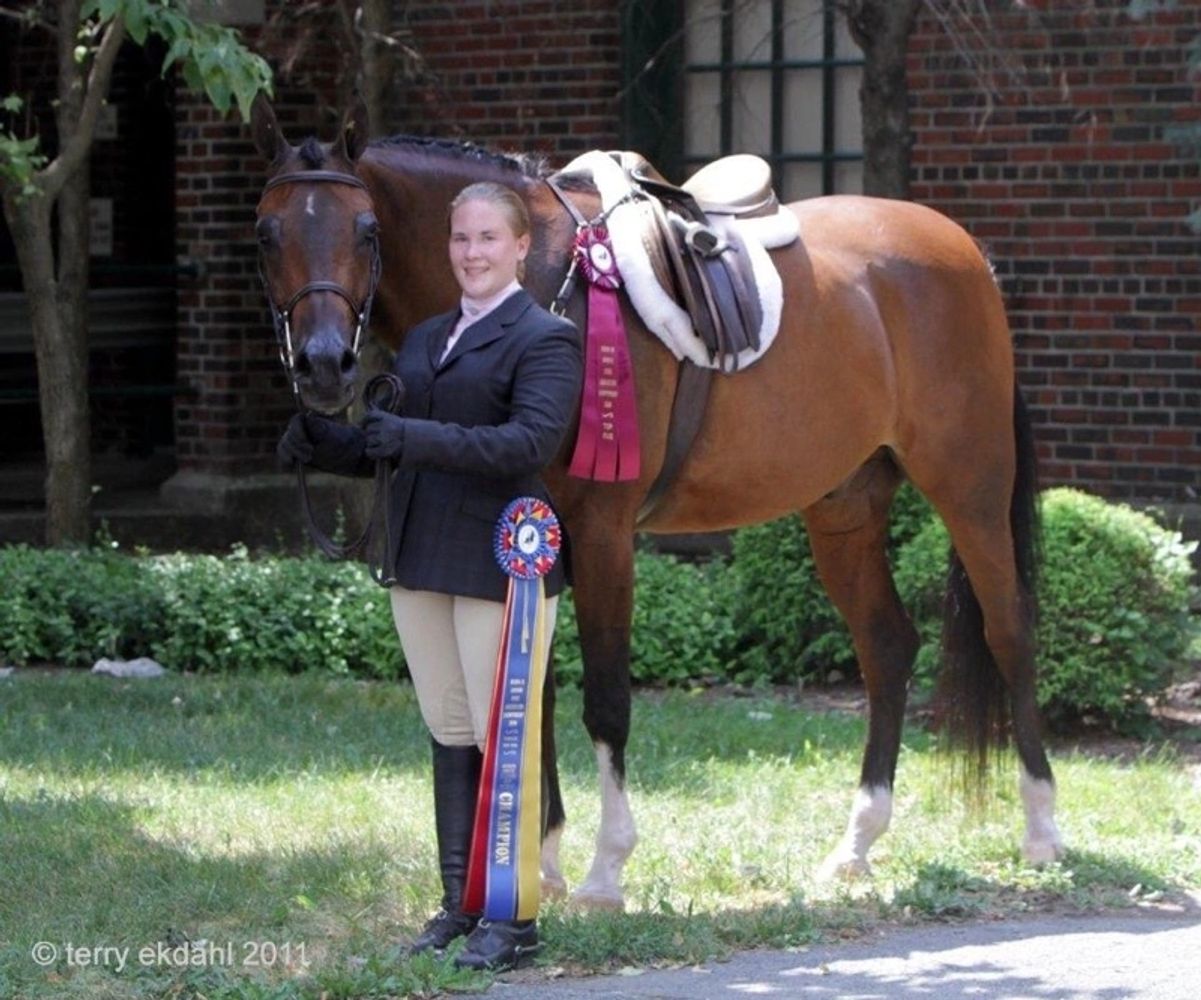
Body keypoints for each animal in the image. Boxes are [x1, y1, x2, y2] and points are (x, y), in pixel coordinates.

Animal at [248, 97, 1066, 907]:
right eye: (266, 232)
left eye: (366, 229)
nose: (324, 366)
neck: (548, 291)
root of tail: (965, 253)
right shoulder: (531, 539)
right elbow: (534, 693)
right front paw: (540, 865)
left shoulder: (603, 533)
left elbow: (606, 697)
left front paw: (605, 871)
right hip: (844, 509)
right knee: (887, 647)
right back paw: (856, 846)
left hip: (970, 487)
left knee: (1008, 630)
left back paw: (1041, 830)